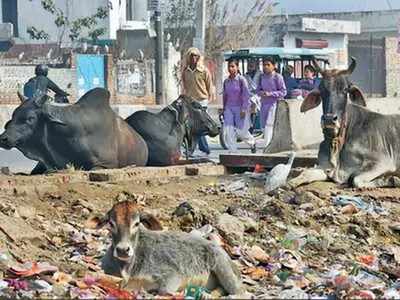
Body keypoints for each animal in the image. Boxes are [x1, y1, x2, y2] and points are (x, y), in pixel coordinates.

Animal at [89, 202, 242, 296]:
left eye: (137, 223)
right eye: (111, 223)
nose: (122, 250)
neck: (127, 268)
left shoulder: (172, 275)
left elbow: (164, 290)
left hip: (224, 268)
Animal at [300, 56, 400, 188]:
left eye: (345, 89)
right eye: (322, 90)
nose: (329, 119)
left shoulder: (383, 161)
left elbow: (355, 179)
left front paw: (392, 179)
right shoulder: (325, 166)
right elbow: (305, 173)